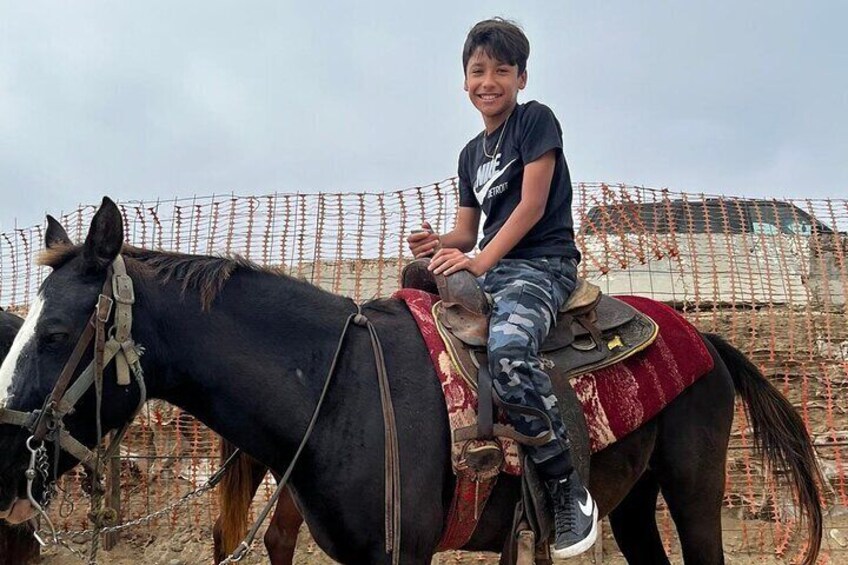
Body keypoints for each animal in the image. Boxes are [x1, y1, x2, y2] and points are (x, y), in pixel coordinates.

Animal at [0, 197, 824, 560]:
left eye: (56, 334)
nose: (7, 460)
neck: (338, 393)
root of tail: (704, 336)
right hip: (634, 498)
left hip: (693, 488)